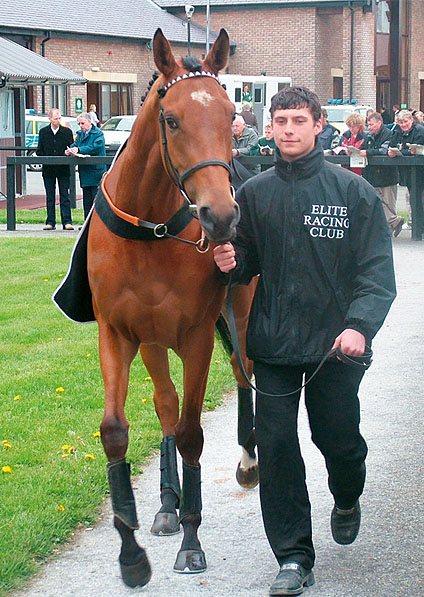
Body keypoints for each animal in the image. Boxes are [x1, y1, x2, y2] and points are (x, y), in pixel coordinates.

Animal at [86, 29, 256, 588]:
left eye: (230, 114)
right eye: (173, 119)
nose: (220, 215)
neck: (151, 230)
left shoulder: (197, 336)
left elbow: (191, 433)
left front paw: (192, 540)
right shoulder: (118, 334)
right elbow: (118, 431)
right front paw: (131, 551)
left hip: (241, 315)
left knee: (244, 373)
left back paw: (248, 462)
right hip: (153, 342)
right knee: (164, 403)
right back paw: (164, 504)